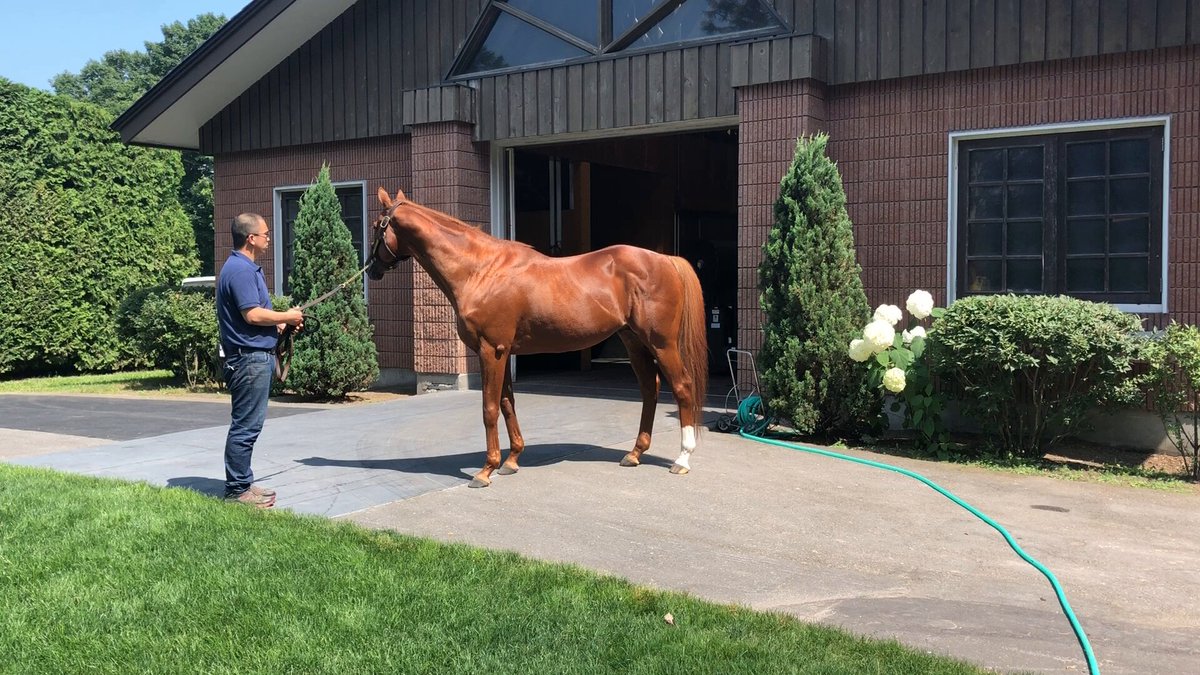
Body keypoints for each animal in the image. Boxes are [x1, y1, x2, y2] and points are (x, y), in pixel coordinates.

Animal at [367, 187, 708, 488]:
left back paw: (682, 459)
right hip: (633, 342)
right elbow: (507, 403)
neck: (480, 270)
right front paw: (511, 461)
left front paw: (485, 470)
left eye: (375, 226)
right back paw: (634, 453)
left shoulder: (491, 350)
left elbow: (489, 408)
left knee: (682, 387)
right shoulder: (502, 351)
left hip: (662, 344)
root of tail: (666, 260)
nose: (371, 270)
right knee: (650, 389)